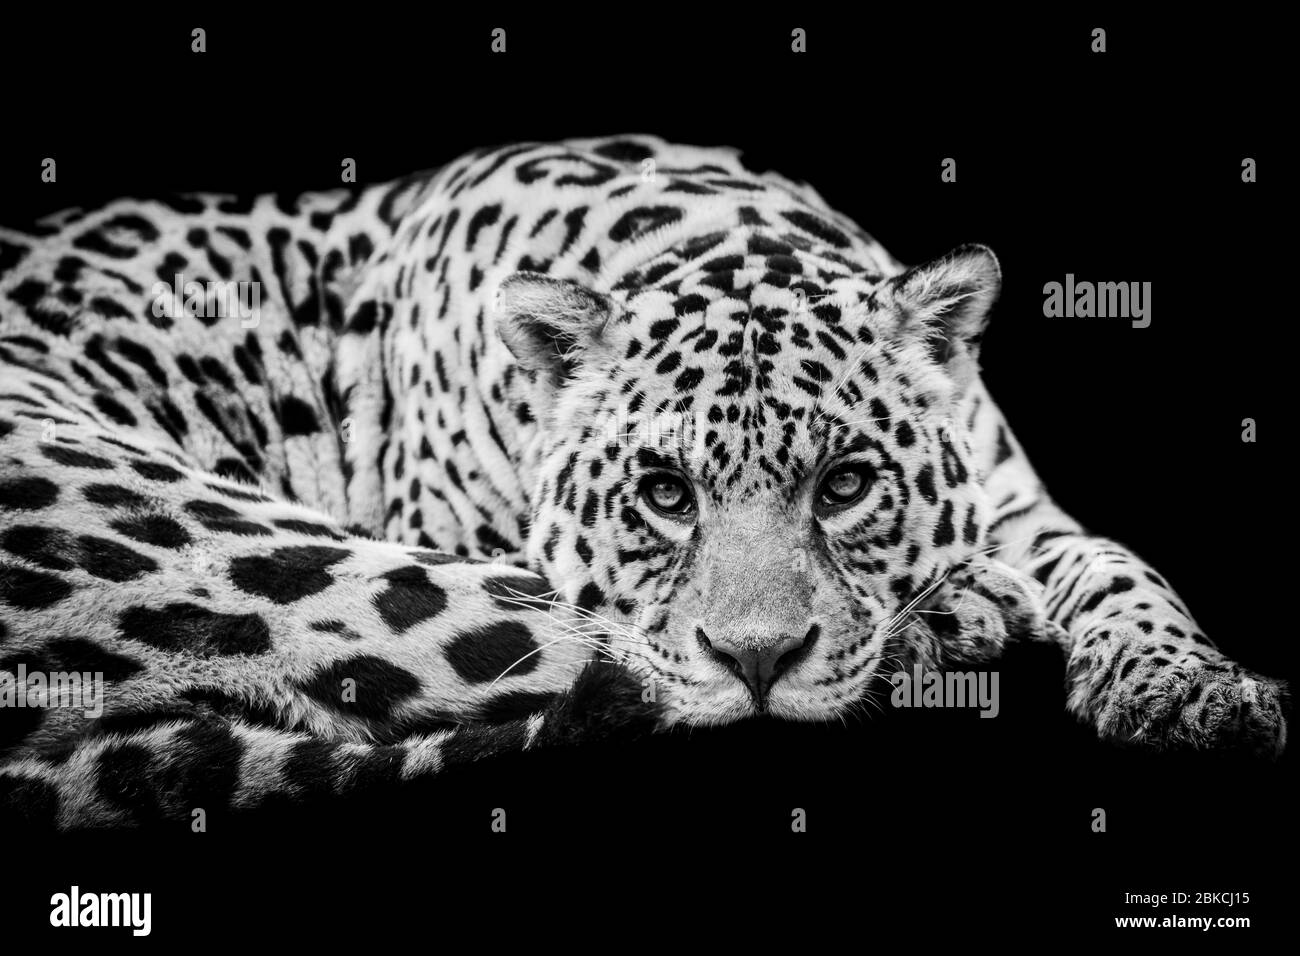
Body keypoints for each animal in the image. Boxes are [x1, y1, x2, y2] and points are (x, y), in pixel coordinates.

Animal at [0, 135, 1286, 829]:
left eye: (847, 483)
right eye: (665, 494)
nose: (760, 659)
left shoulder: (1023, 505)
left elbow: (1121, 565)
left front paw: (1191, 689)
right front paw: (960, 611)